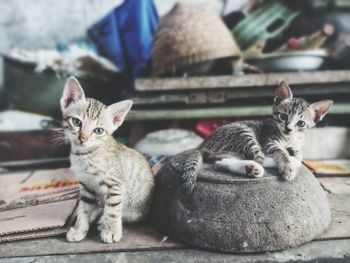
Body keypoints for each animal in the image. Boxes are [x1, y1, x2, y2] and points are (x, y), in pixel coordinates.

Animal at [60, 77, 154, 244]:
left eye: (98, 130)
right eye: (77, 122)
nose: (83, 138)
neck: (84, 155)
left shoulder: (115, 185)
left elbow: (113, 209)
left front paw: (111, 230)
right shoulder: (86, 186)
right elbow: (84, 209)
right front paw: (80, 229)